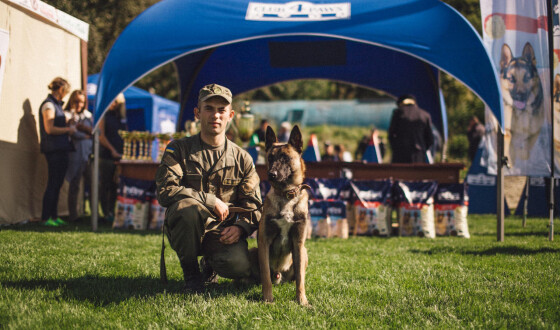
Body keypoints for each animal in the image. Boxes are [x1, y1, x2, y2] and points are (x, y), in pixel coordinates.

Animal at [258, 125, 310, 306]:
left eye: (285, 158)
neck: (286, 195)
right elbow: (265, 276)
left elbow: (301, 279)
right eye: (270, 158)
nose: (271, 174)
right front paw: (267, 299)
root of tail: (279, 277)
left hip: (305, 252)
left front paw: (302, 300)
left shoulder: (298, 243)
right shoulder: (264, 242)